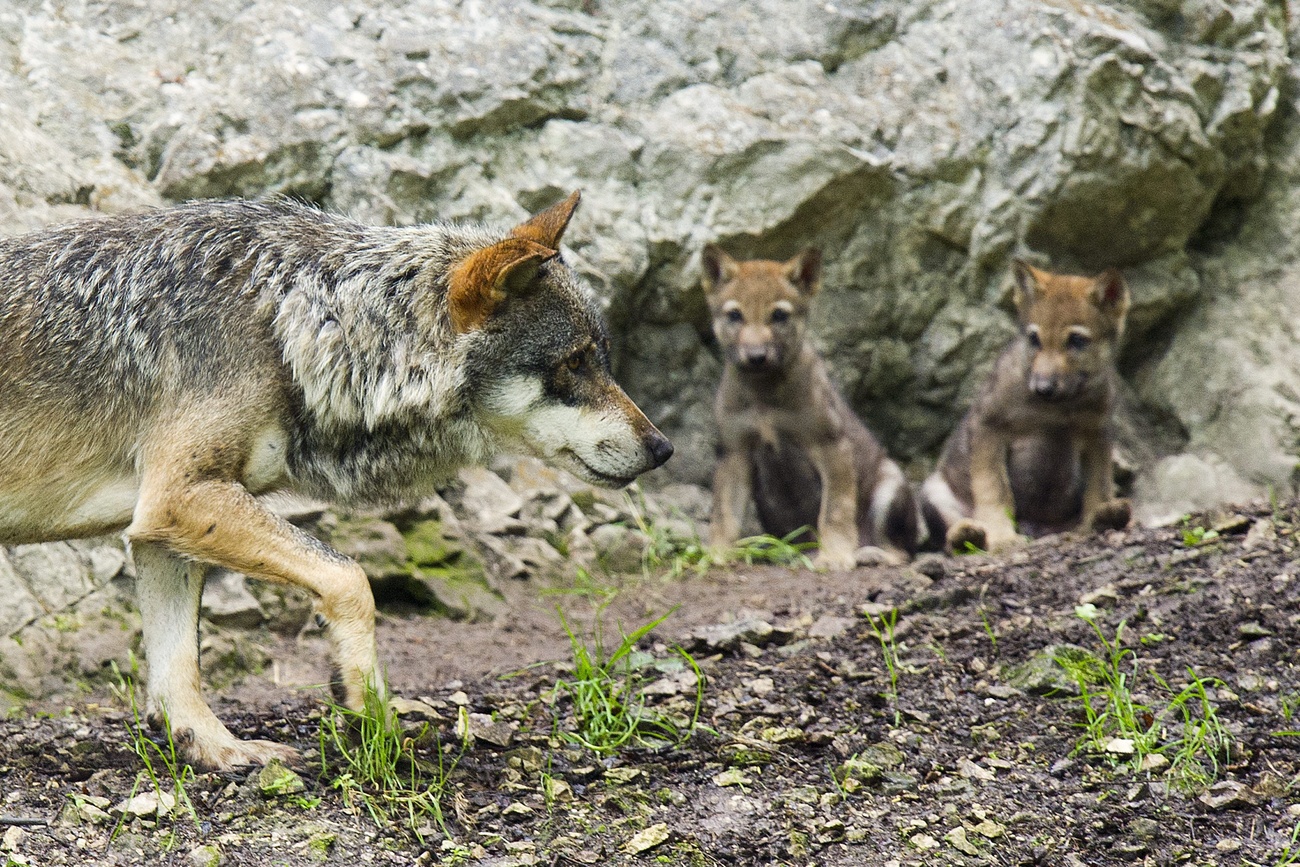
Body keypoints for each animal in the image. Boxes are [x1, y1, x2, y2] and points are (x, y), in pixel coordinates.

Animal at [0, 193, 670, 769]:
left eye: (600, 358)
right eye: (574, 364)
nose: (662, 449)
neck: (292, 323)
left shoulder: (160, 530)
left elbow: (178, 670)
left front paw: (218, 749)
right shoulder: (181, 497)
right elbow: (351, 579)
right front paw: (369, 710)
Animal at [702, 245, 915, 569]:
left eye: (778, 315)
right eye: (735, 315)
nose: (756, 356)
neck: (764, 396)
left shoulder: (831, 446)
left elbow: (834, 511)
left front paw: (836, 556)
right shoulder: (734, 453)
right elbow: (724, 513)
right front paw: (718, 554)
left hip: (888, 488)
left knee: (901, 552)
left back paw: (867, 553)